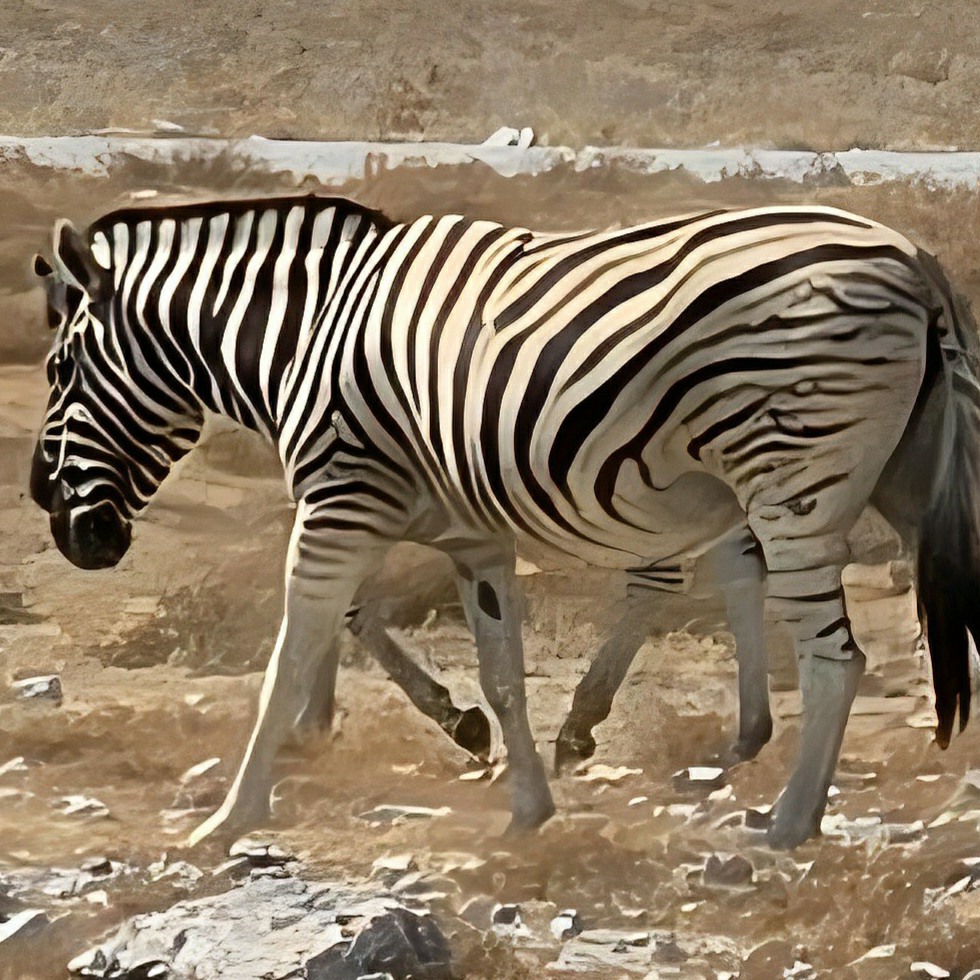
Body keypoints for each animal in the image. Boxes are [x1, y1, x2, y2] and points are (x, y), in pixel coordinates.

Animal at [29, 194, 980, 850]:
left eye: (59, 368)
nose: (55, 515)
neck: (305, 335)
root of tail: (913, 256)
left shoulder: (341, 501)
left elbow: (291, 653)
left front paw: (231, 817)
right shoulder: (466, 534)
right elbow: (499, 672)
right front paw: (524, 800)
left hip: (790, 477)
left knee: (832, 659)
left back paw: (789, 822)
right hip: (904, 482)